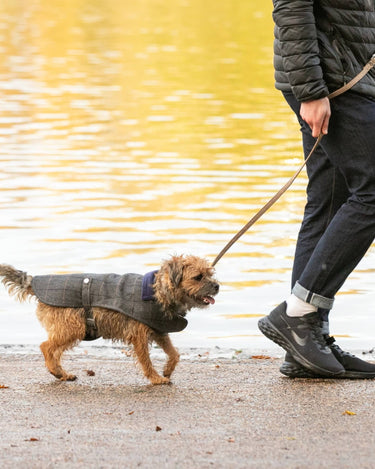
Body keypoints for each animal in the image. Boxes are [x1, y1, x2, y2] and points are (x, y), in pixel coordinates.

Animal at [0, 256, 220, 384]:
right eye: (198, 277)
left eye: (210, 273)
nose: (217, 286)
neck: (158, 290)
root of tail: (33, 281)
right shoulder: (139, 336)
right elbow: (146, 360)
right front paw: (156, 378)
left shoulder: (158, 331)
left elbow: (174, 353)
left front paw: (167, 370)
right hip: (73, 327)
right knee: (46, 346)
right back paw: (56, 371)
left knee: (53, 350)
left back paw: (61, 373)